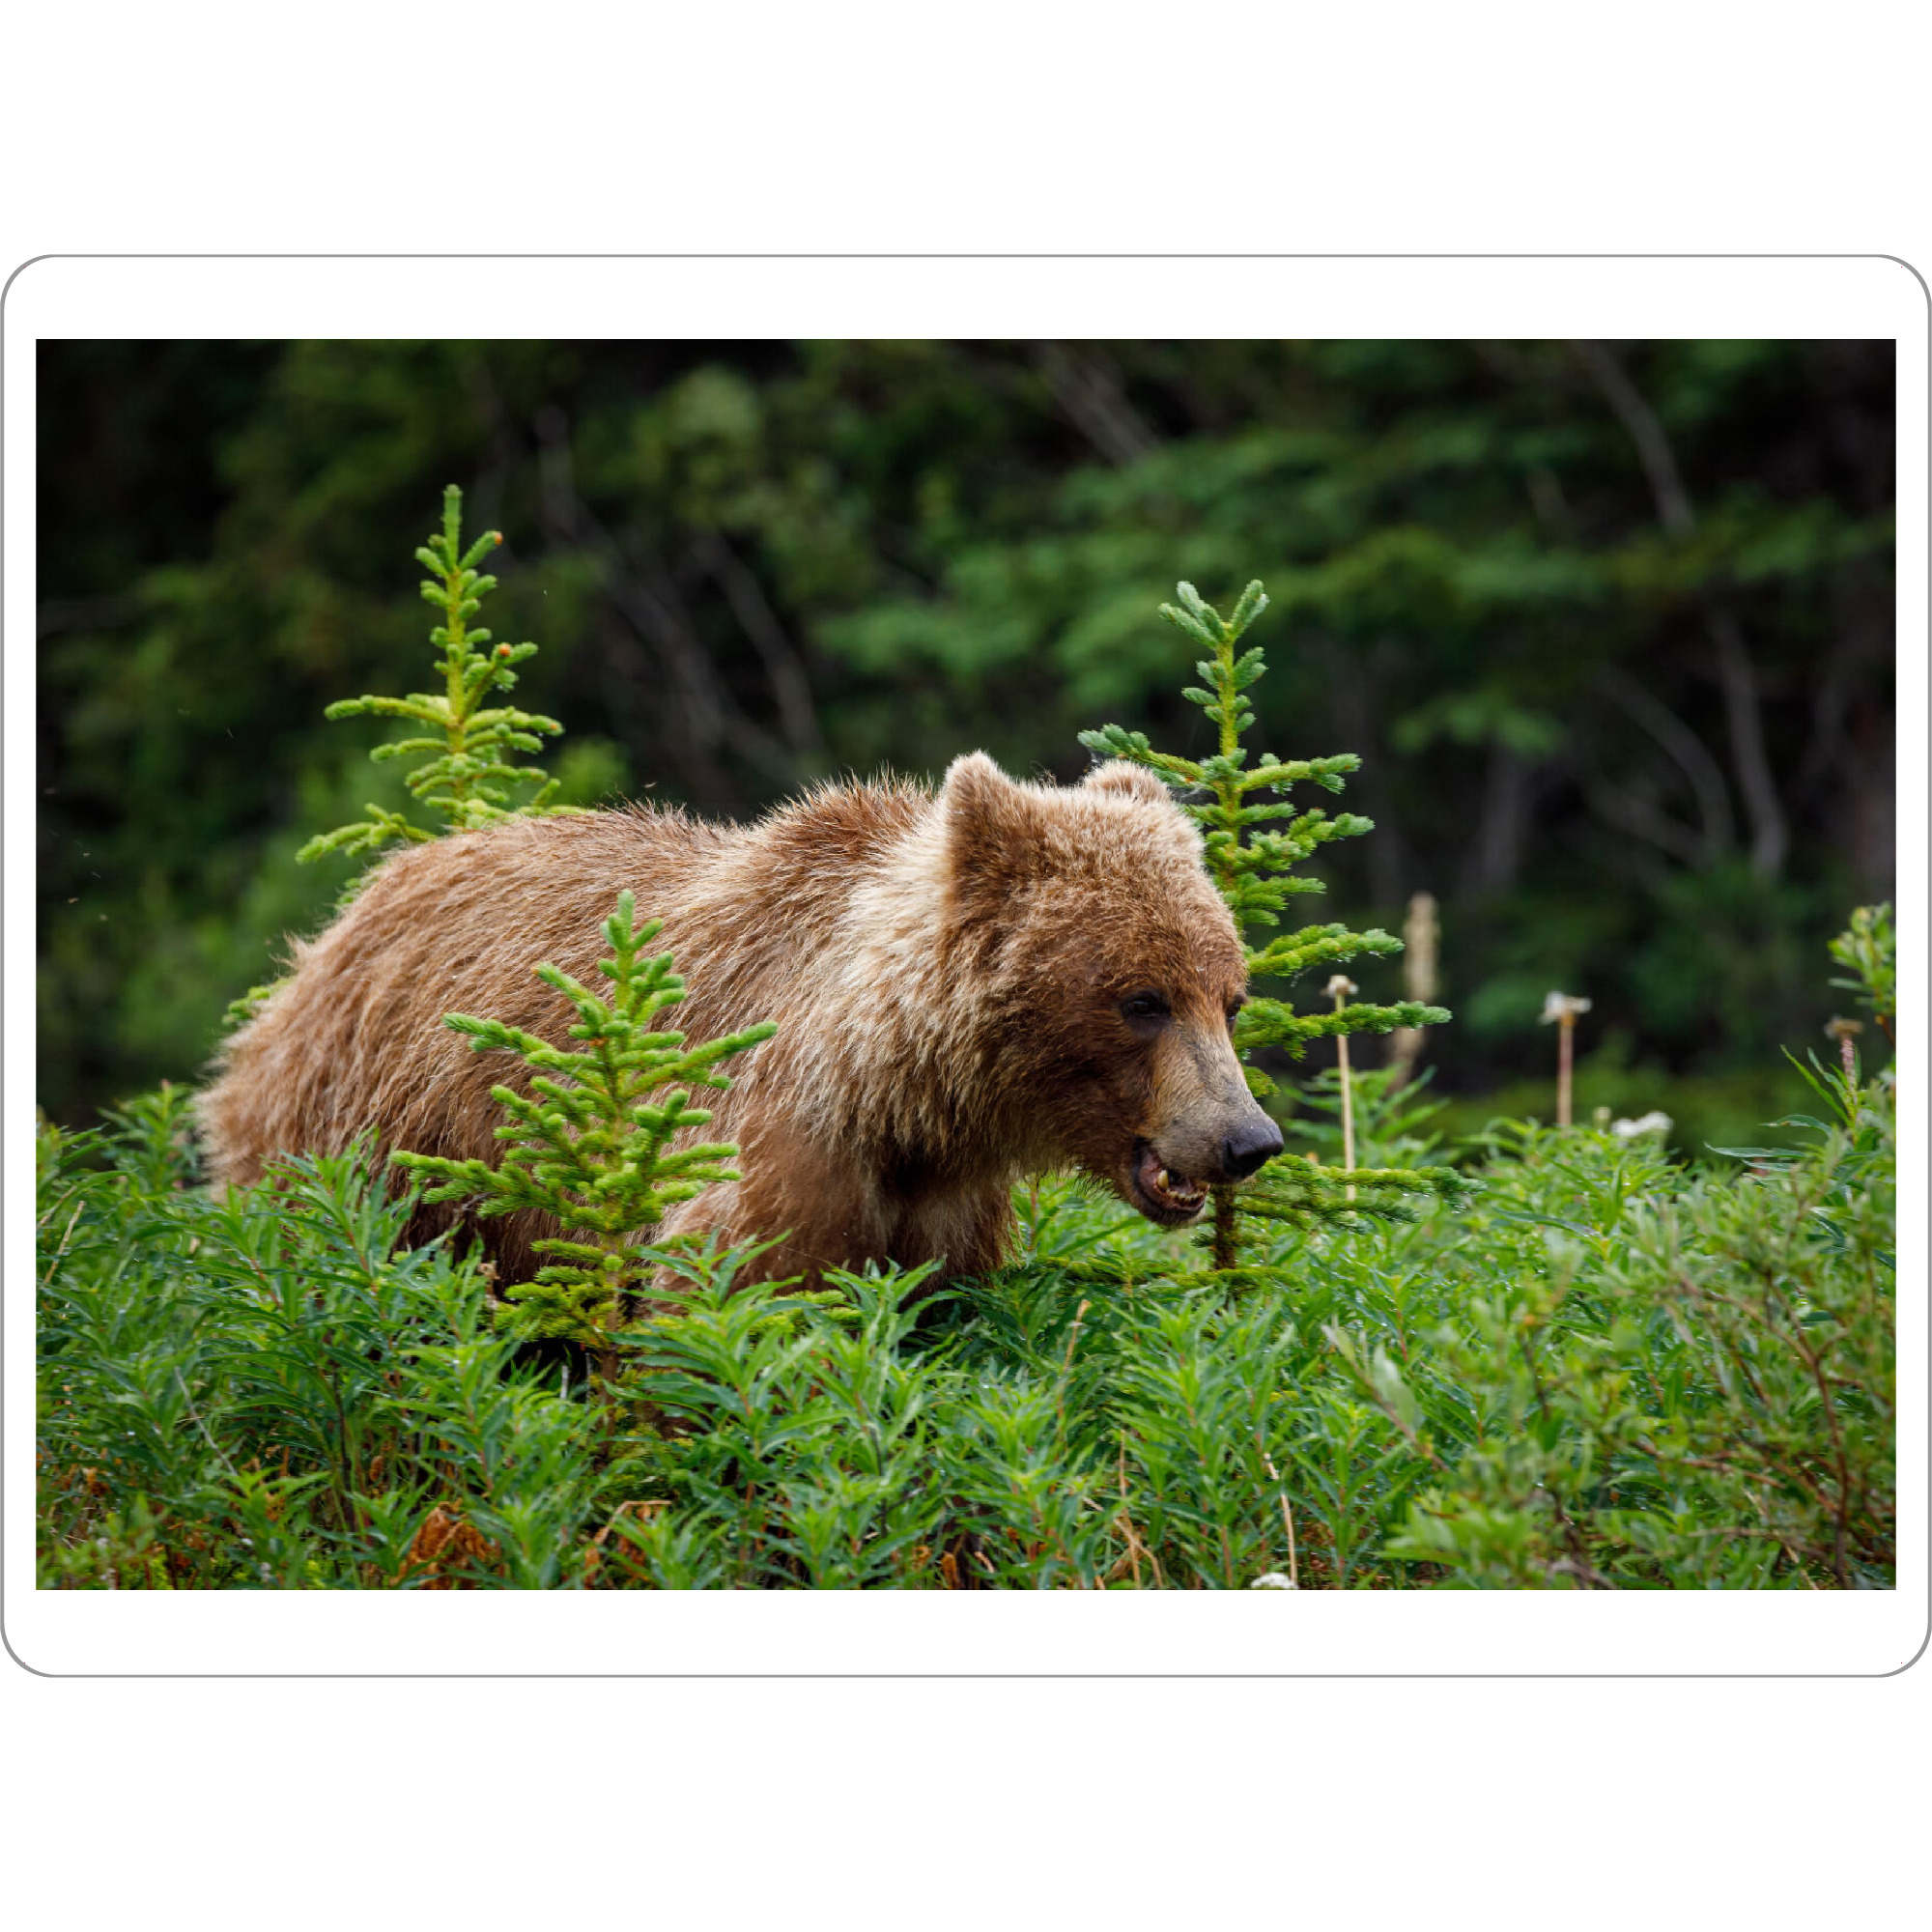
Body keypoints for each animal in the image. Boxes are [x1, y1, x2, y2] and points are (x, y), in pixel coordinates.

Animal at [197, 753, 1284, 1288]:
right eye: (1140, 999)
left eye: (1227, 995)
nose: (1247, 1138)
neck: (895, 1095)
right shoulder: (770, 1161)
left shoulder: (943, 1215)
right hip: (372, 1150)